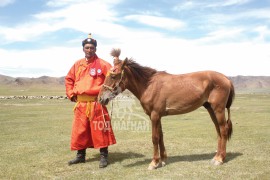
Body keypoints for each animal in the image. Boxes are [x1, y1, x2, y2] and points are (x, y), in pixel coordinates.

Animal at [97, 48, 234, 169]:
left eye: (113, 76)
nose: (101, 98)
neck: (149, 85)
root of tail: (226, 79)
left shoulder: (154, 115)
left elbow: (155, 138)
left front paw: (154, 163)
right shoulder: (158, 116)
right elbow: (161, 136)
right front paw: (162, 160)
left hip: (219, 110)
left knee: (223, 130)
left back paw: (220, 159)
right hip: (211, 109)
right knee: (218, 131)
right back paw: (216, 157)